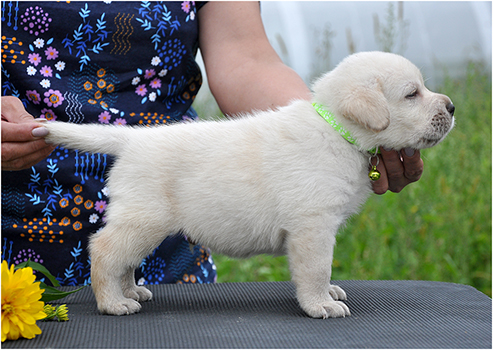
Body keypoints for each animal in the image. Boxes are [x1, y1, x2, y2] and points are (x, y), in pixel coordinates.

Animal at [42, 51, 454, 318]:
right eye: (412, 94)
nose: (451, 107)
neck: (336, 128)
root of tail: (131, 140)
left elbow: (322, 271)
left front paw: (328, 293)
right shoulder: (313, 226)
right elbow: (317, 269)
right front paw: (320, 303)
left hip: (139, 221)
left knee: (123, 258)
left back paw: (131, 291)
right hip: (145, 219)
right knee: (104, 250)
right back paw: (112, 302)